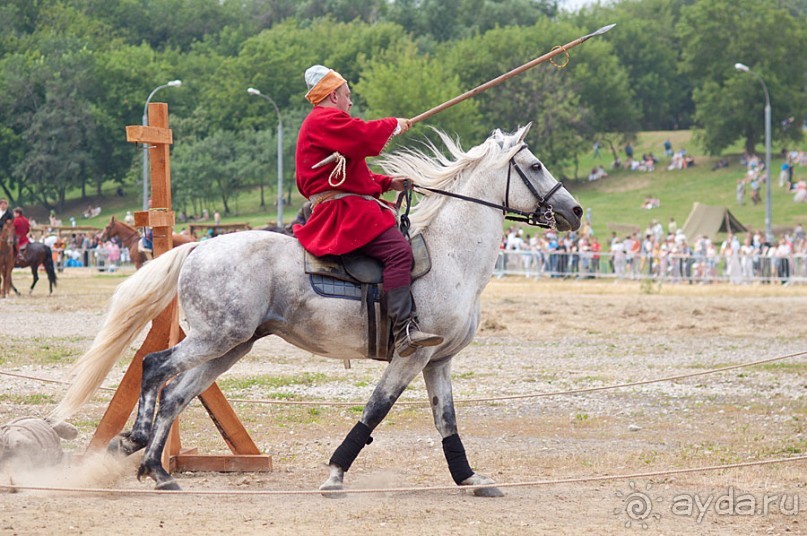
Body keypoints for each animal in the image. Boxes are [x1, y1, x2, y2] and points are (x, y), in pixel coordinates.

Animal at [52, 125, 580, 494]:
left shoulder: (439, 360)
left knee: (176, 394)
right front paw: (335, 473)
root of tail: (199, 246)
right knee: (154, 366)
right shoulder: (411, 355)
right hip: (214, 339)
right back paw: (134, 442)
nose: (574, 212)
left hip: (230, 346)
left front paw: (468, 478)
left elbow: (446, 421)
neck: (450, 252)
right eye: (534, 166)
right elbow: (375, 410)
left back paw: (158, 471)